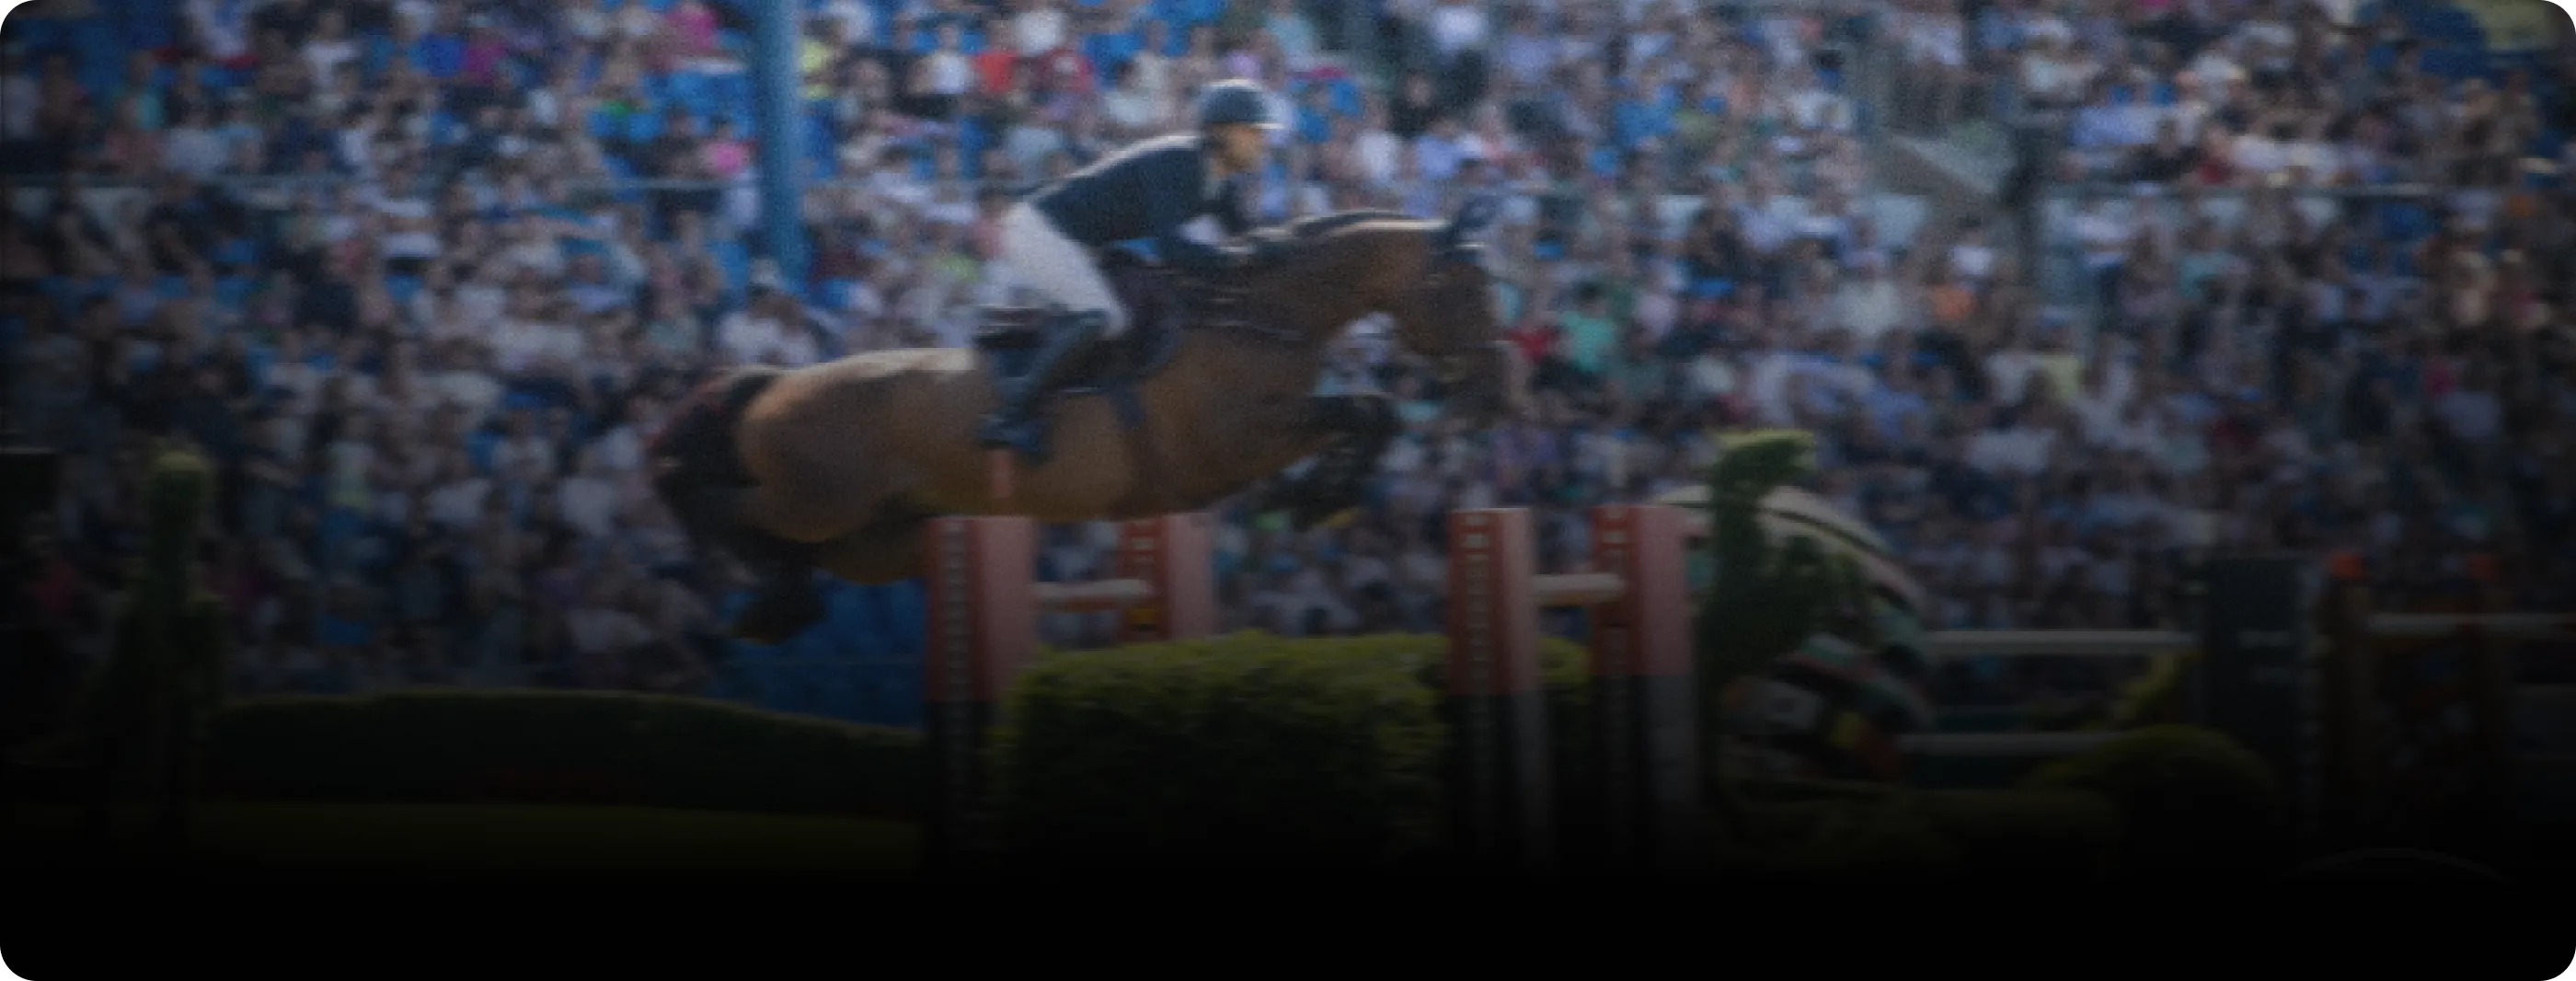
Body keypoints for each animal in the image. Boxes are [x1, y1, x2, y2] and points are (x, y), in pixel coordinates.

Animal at [649, 199, 1526, 642]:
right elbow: (1364, 410)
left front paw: (1324, 495)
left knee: (794, 546)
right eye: (1464, 289)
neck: (1260, 315)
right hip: (816, 499)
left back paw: (778, 602)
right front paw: (1317, 496)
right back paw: (751, 591)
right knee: (718, 502)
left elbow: (1370, 413)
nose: (1494, 395)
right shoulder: (1234, 445)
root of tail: (773, 381)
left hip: (876, 539)